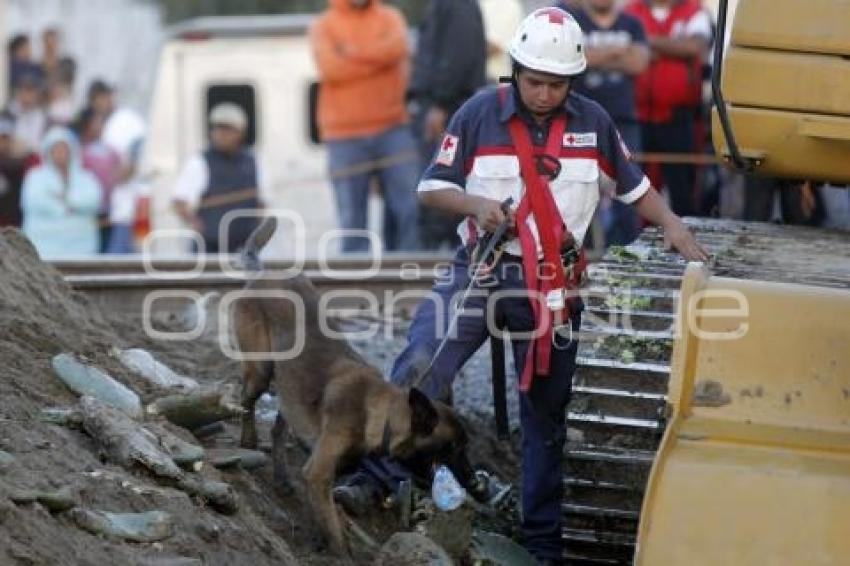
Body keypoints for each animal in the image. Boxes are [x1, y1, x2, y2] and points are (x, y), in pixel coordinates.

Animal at [232, 219, 474, 560]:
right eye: (452, 448)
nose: (475, 483)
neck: (379, 414)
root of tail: (263, 273)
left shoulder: (322, 473)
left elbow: (325, 512)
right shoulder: (319, 472)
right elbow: (333, 526)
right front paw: (338, 551)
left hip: (290, 391)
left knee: (279, 429)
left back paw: (281, 478)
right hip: (260, 370)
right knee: (246, 400)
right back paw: (248, 441)